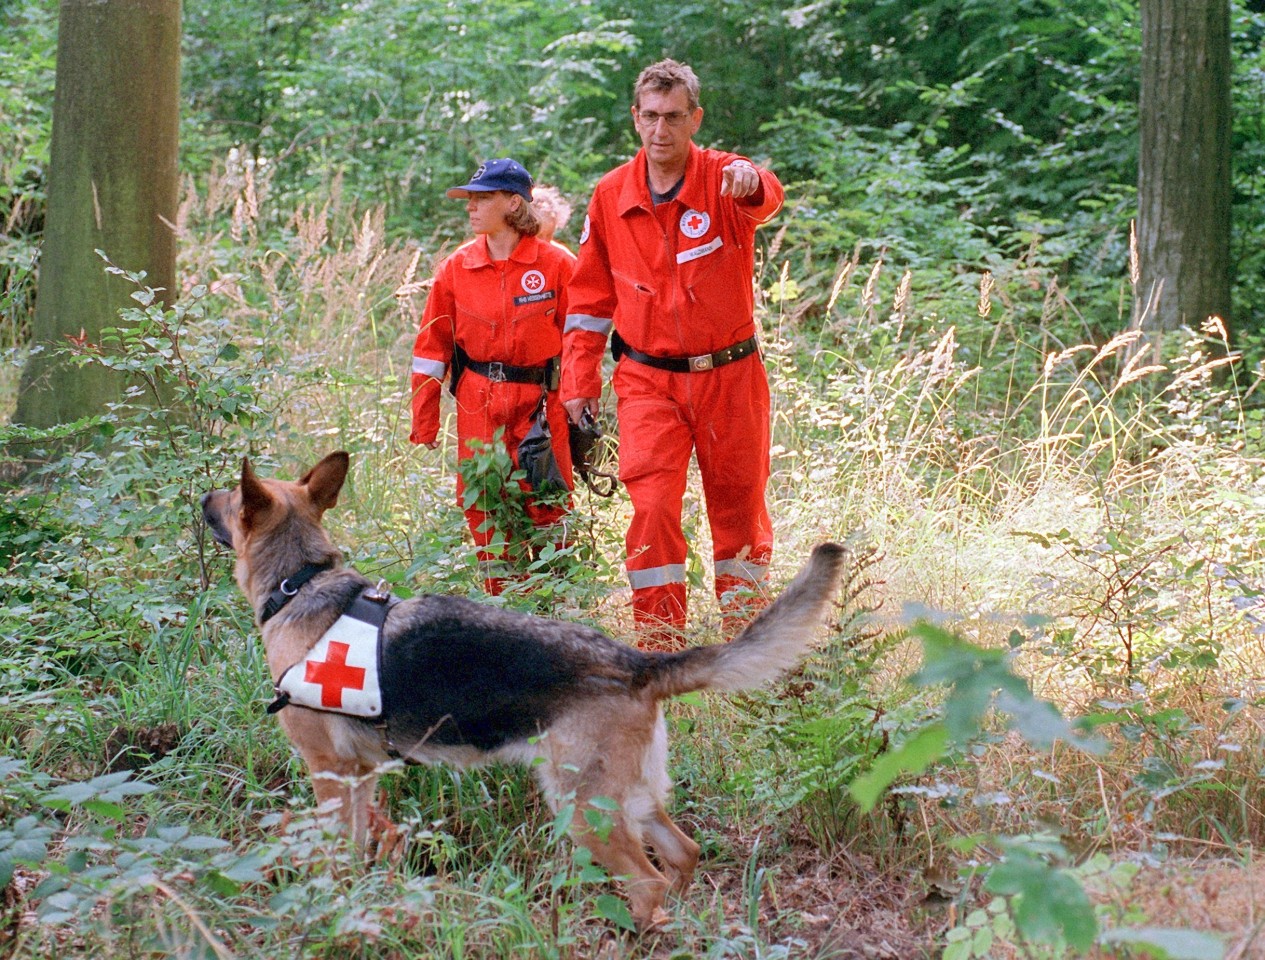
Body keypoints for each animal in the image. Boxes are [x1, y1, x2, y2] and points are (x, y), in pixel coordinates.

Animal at [197, 455, 845, 925]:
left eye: (230, 497)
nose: (202, 497)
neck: (299, 583)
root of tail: (637, 663)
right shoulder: (362, 774)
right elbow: (360, 848)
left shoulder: (328, 771)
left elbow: (332, 852)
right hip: (628, 797)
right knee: (682, 855)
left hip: (581, 811)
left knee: (648, 883)